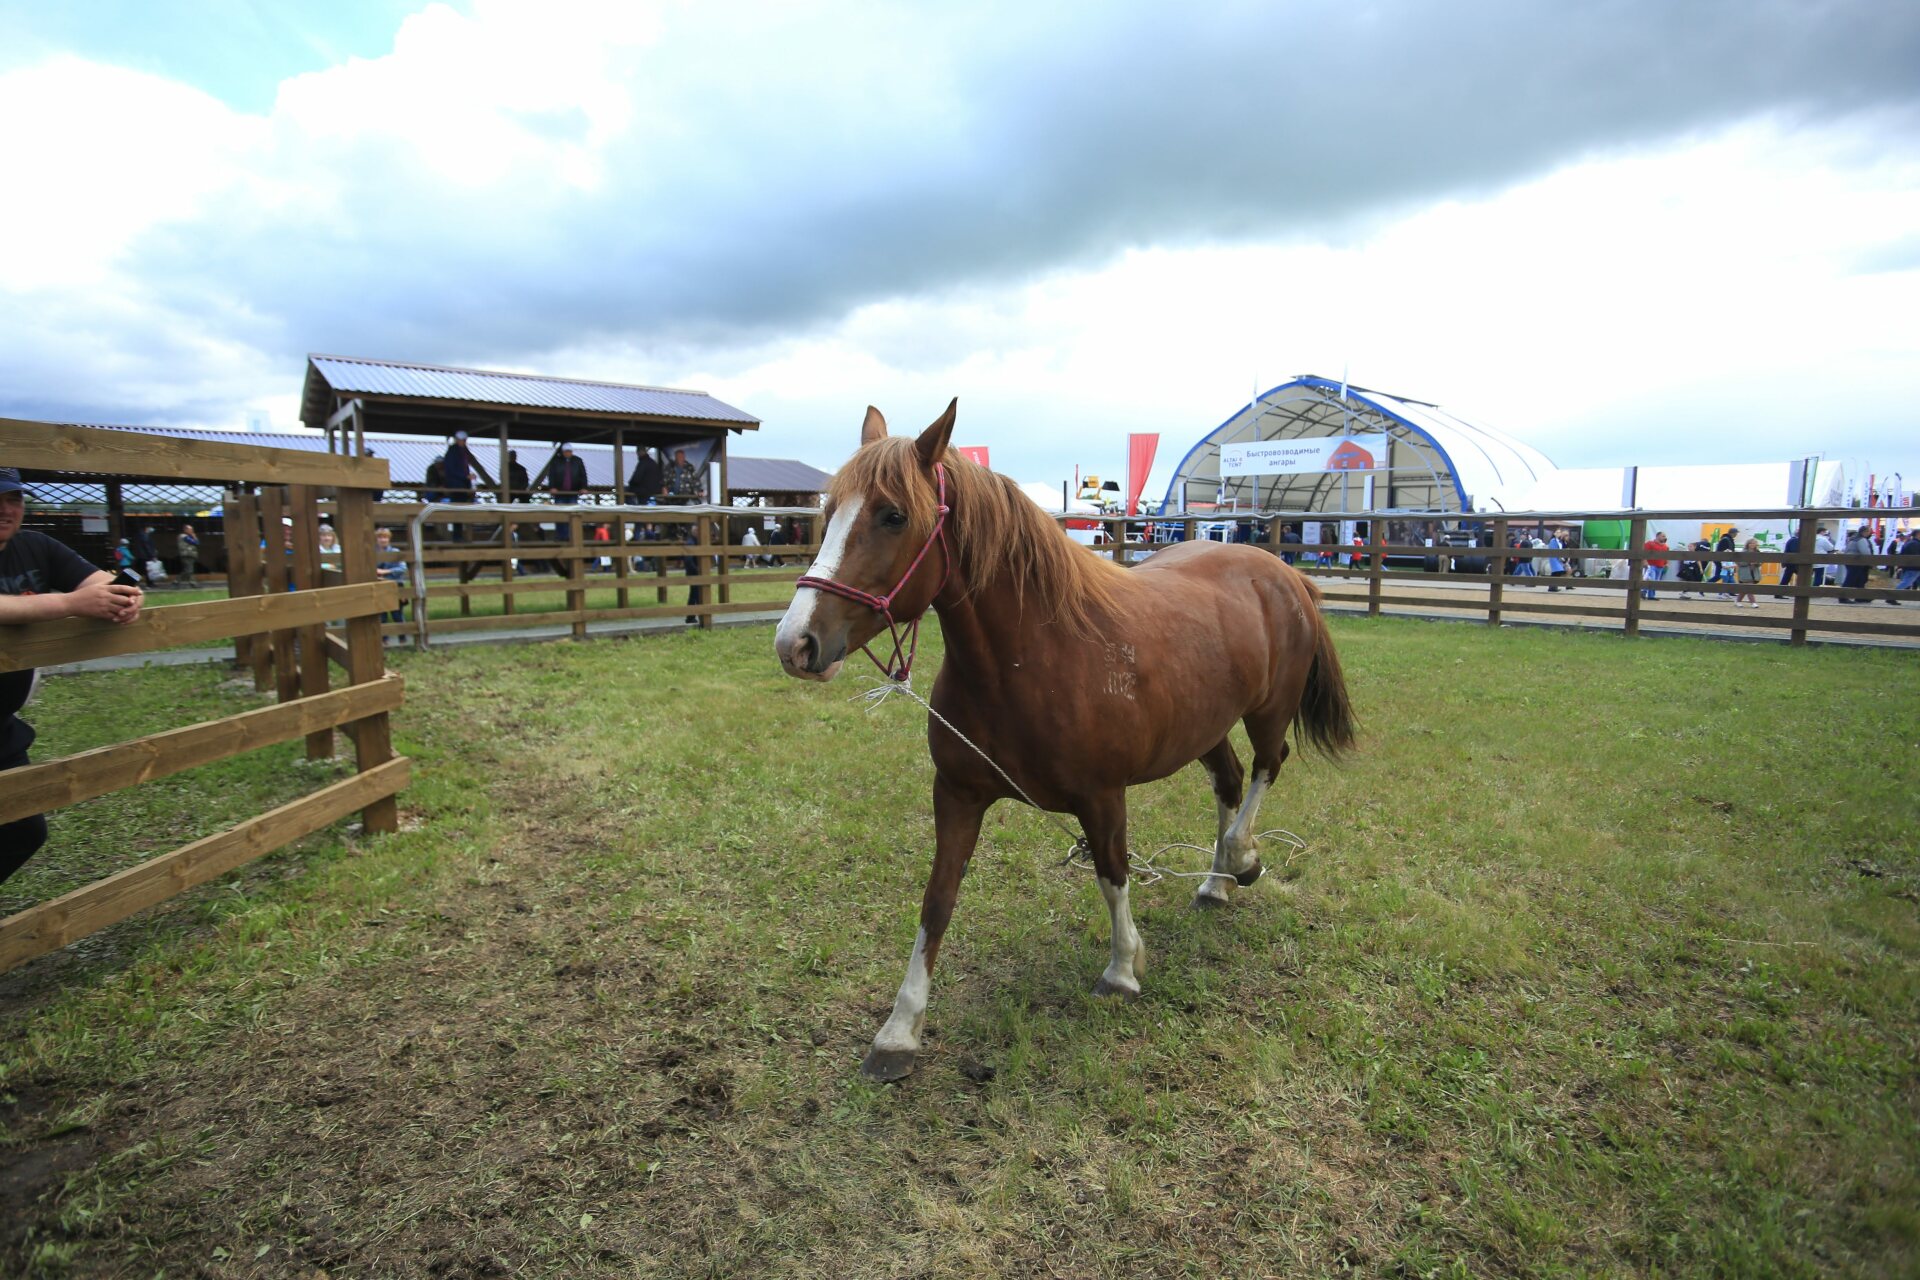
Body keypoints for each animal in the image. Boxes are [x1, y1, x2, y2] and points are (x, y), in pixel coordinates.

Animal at [774, 401, 1356, 1081]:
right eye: (828, 510)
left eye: (893, 515)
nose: (796, 643)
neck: (1031, 658)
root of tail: (1284, 572)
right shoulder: (957, 795)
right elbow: (936, 902)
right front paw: (899, 1032)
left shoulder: (1103, 798)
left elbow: (1113, 874)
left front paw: (1123, 969)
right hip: (1205, 725)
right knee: (1230, 780)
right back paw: (1214, 882)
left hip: (1267, 712)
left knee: (1267, 767)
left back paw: (1239, 859)